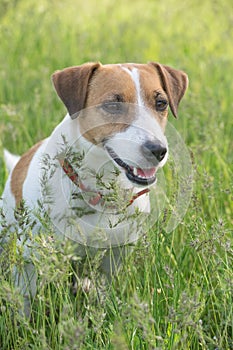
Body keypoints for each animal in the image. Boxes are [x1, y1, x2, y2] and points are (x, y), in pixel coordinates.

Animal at [0, 61, 188, 316]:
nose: (158, 150)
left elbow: (101, 297)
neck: (100, 193)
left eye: (161, 103)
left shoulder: (113, 259)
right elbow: (25, 303)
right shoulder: (30, 257)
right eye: (112, 105)